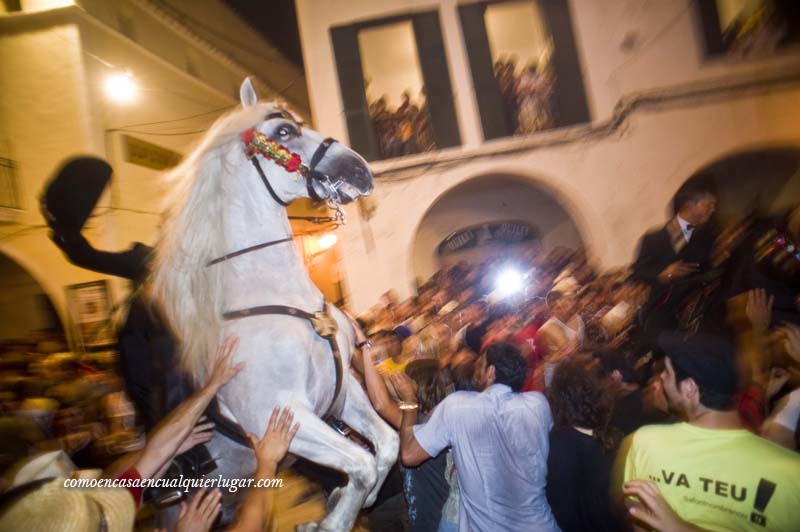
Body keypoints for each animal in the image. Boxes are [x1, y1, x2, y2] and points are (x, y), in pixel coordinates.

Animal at [152, 79, 398, 532]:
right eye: (283, 132)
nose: (360, 170)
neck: (280, 298)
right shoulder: (283, 414)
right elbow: (362, 463)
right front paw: (330, 521)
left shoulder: (343, 394)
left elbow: (385, 446)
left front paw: (351, 500)